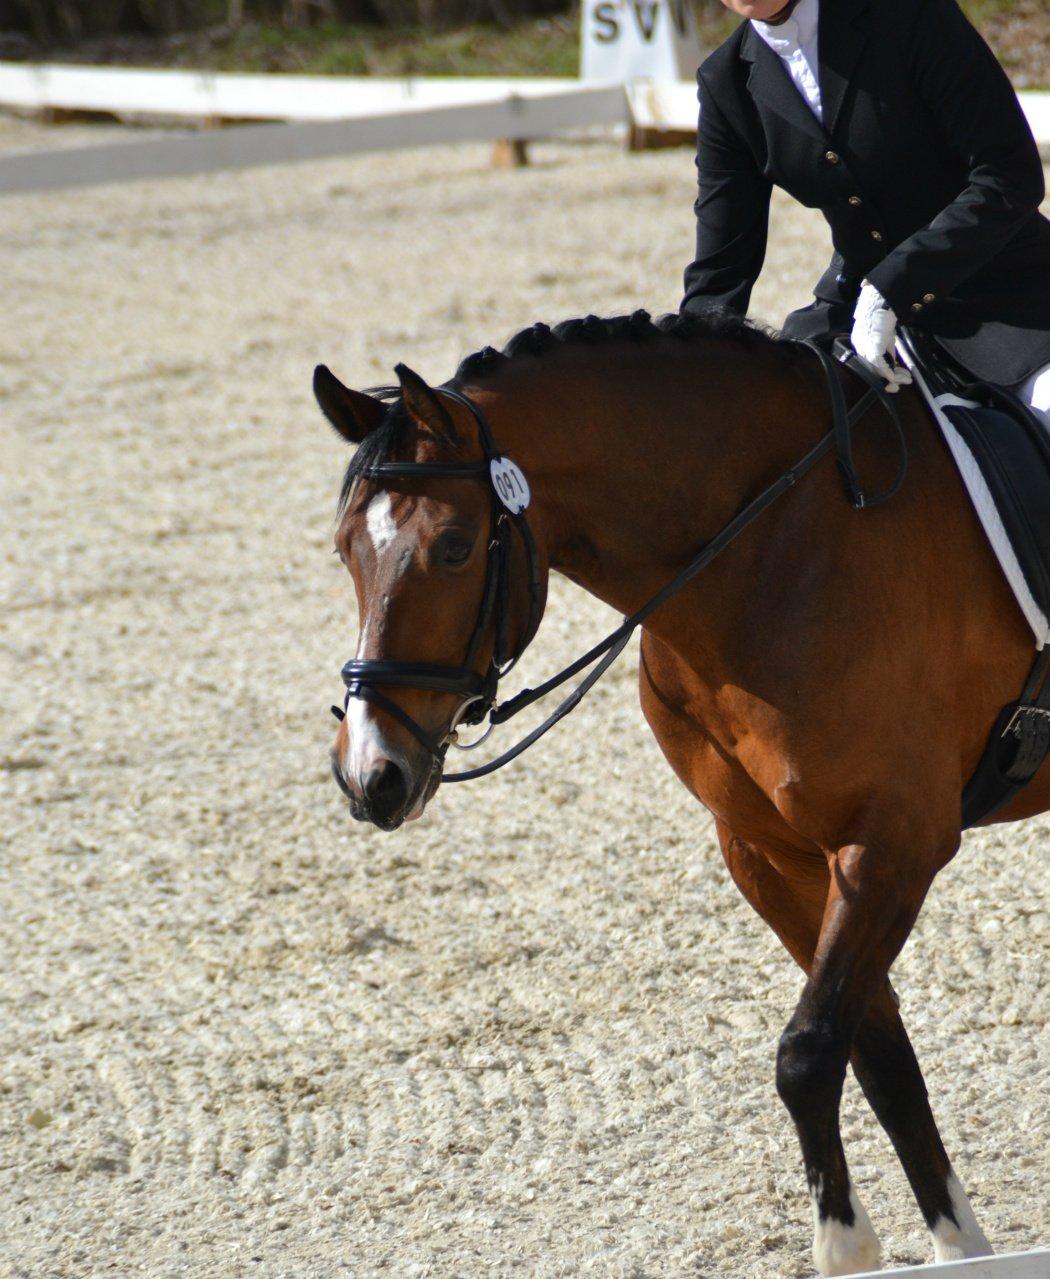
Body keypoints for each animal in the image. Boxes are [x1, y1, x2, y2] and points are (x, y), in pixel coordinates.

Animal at [313, 309, 1047, 1277]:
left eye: (454, 547)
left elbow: (810, 1049)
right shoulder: (767, 852)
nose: (371, 774)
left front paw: (846, 1246)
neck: (763, 551)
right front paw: (960, 1242)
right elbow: (878, 1048)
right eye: (344, 549)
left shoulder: (895, 839)